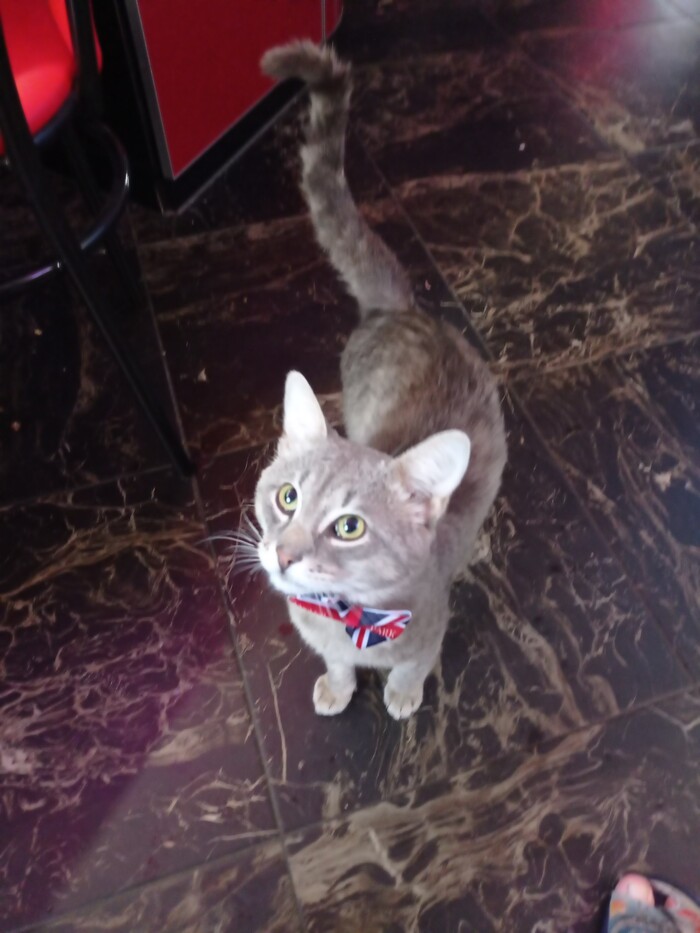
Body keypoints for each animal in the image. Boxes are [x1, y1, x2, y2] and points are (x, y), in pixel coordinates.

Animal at [253, 41, 506, 719]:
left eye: (349, 527)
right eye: (287, 498)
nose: (283, 553)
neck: (348, 617)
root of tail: (403, 309)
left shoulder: (432, 626)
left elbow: (412, 664)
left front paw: (401, 692)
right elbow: (338, 662)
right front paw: (339, 683)